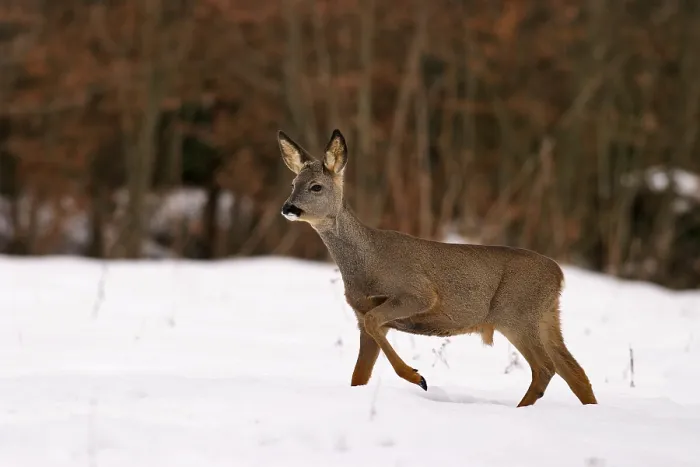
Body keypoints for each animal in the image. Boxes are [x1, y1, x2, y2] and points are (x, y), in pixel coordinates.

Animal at [276, 128, 598, 408]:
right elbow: (359, 374)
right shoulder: (361, 313)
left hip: (517, 314)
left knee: (545, 368)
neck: (368, 260)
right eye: (292, 185)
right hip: (545, 316)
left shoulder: (417, 293)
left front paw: (417, 377)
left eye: (316, 186)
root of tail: (559, 274)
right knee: (574, 371)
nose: (288, 208)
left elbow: (375, 324)